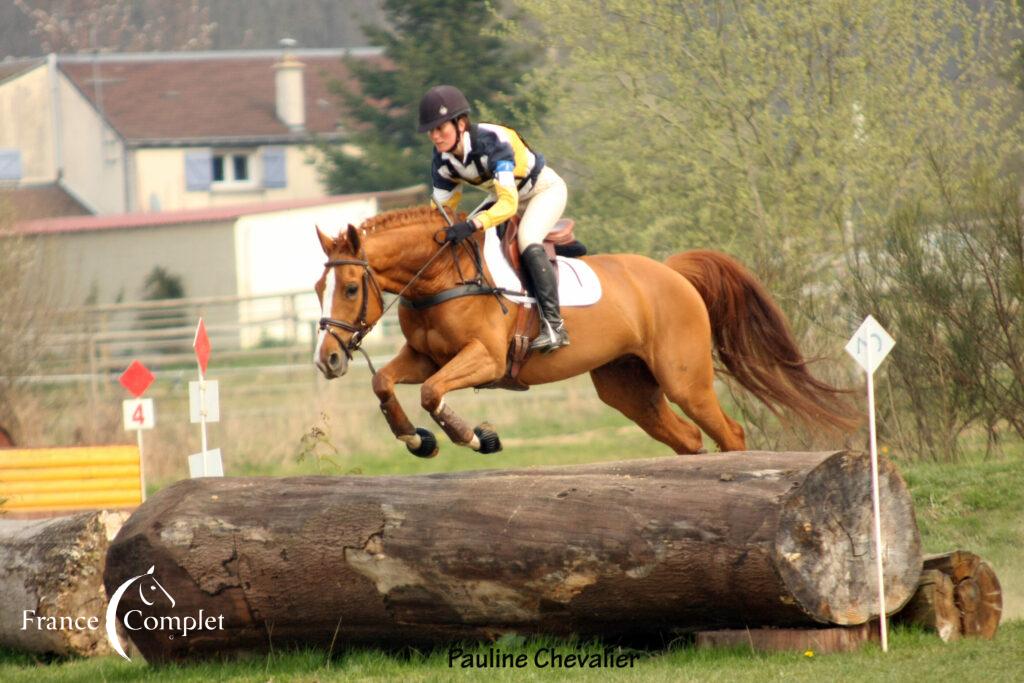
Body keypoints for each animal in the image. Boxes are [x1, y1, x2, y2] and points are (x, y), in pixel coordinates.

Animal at [313, 205, 856, 456]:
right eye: (319, 286)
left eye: (352, 288)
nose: (328, 359)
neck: (443, 276)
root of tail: (674, 274)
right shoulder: (427, 356)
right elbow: (384, 382)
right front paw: (416, 440)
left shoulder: (483, 358)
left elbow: (431, 392)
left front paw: (476, 437)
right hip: (627, 387)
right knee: (686, 437)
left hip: (686, 380)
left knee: (730, 432)